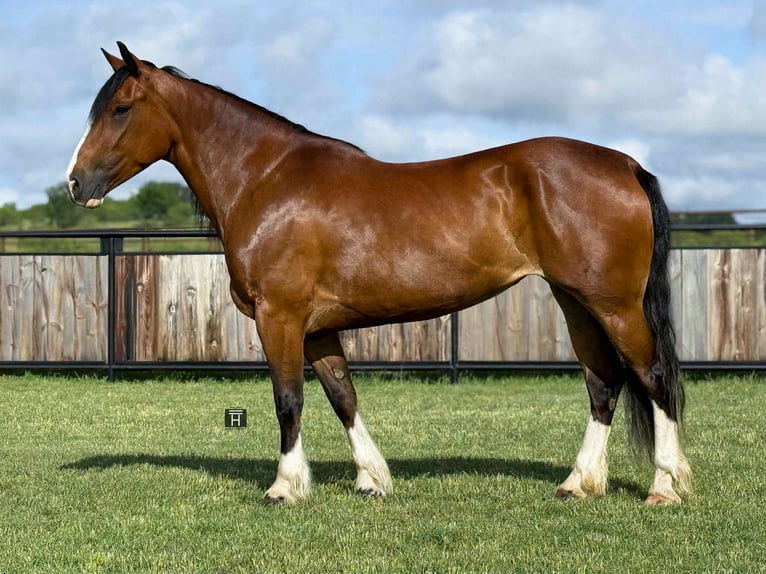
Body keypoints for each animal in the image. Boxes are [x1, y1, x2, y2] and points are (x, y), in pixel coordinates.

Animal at [67, 42, 690, 505]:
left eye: (120, 108)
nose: (76, 183)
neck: (266, 179)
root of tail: (625, 165)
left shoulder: (280, 318)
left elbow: (288, 399)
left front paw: (284, 488)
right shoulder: (318, 328)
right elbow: (343, 396)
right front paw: (372, 480)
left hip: (613, 305)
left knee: (653, 377)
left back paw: (665, 485)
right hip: (575, 301)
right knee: (603, 382)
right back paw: (578, 484)